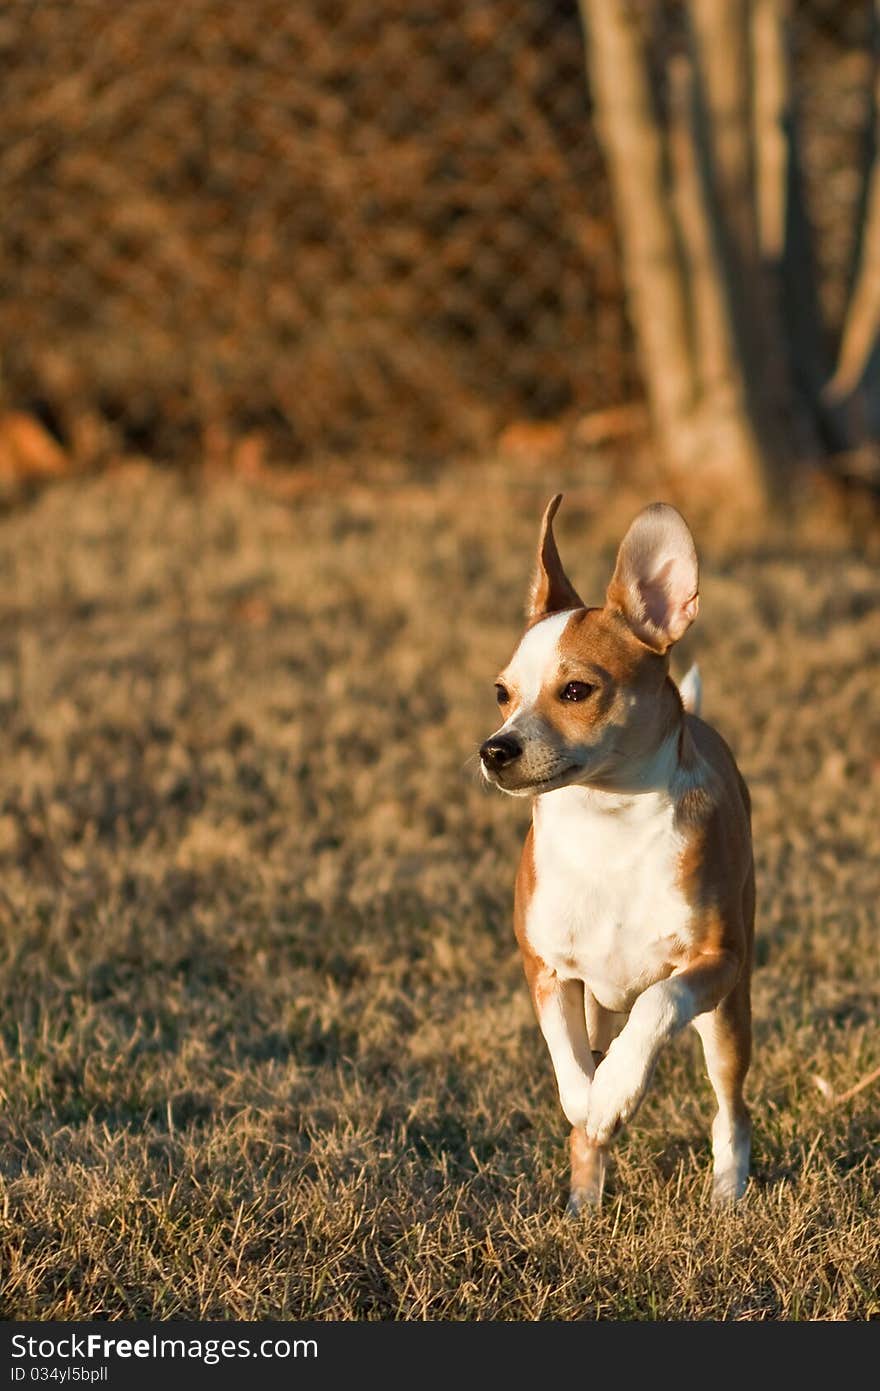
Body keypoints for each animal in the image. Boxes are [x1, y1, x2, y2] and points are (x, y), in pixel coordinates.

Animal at [481, 497, 756, 1207]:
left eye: (577, 690)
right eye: (502, 693)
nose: (495, 749)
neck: (606, 826)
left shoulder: (714, 962)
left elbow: (660, 1004)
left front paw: (615, 1095)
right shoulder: (548, 971)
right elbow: (566, 1061)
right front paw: (590, 1102)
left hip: (727, 1015)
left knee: (732, 1105)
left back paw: (727, 1193)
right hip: (599, 1004)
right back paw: (583, 1201)